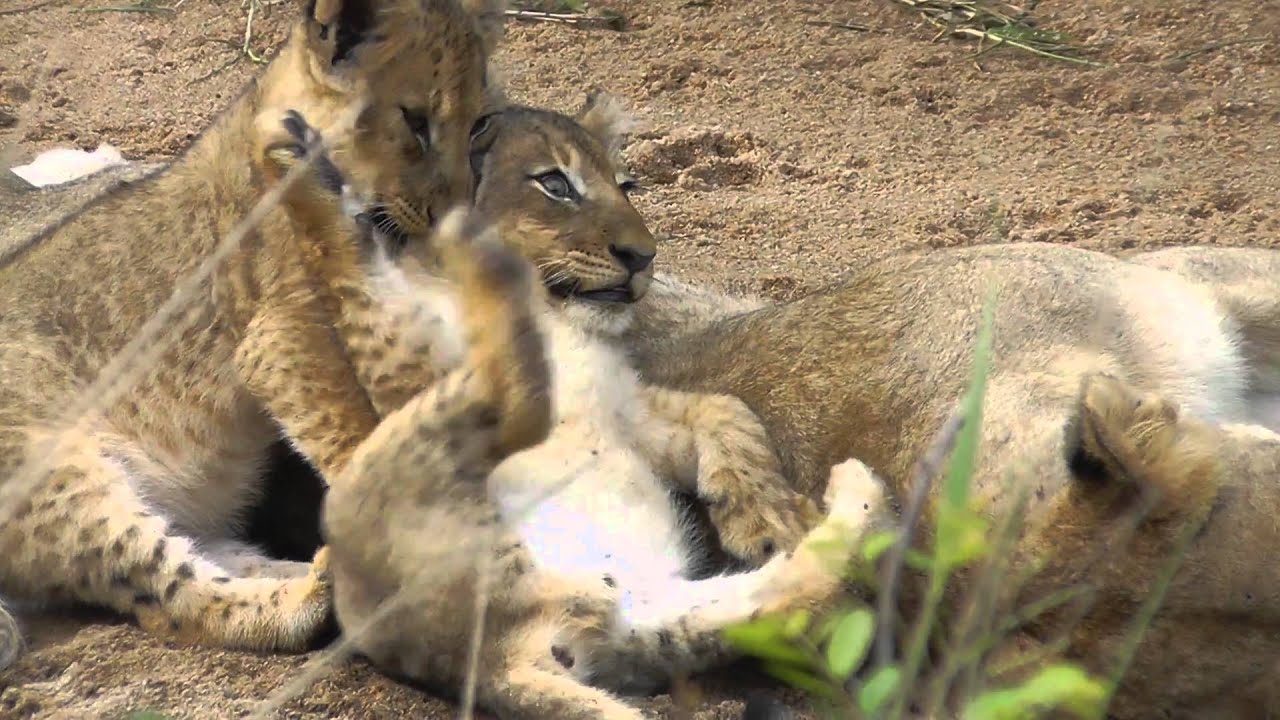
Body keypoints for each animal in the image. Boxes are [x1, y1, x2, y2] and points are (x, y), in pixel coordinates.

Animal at [0, 0, 505, 670]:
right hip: (55, 475)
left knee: (206, 557)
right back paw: (312, 597)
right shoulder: (281, 339)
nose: (454, 215)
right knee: (174, 600)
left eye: (480, 126)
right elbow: (355, 435)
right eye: (414, 121)